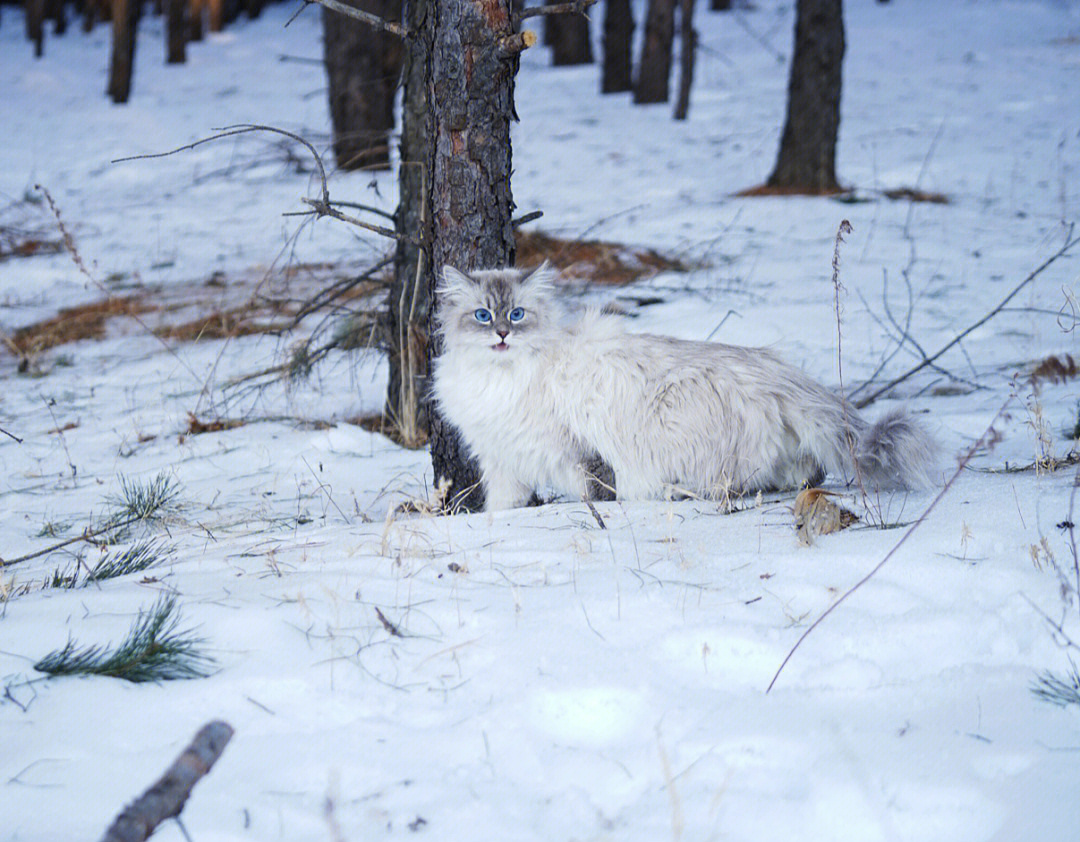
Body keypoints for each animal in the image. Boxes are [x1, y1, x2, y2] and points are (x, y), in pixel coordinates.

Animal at [429, 263, 937, 513]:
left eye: (516, 315)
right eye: (482, 315)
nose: (501, 335)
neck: (500, 379)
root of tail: (777, 371)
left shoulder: (579, 451)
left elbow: (598, 491)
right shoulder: (502, 460)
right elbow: (502, 507)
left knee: (740, 483)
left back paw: (677, 494)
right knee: (804, 473)